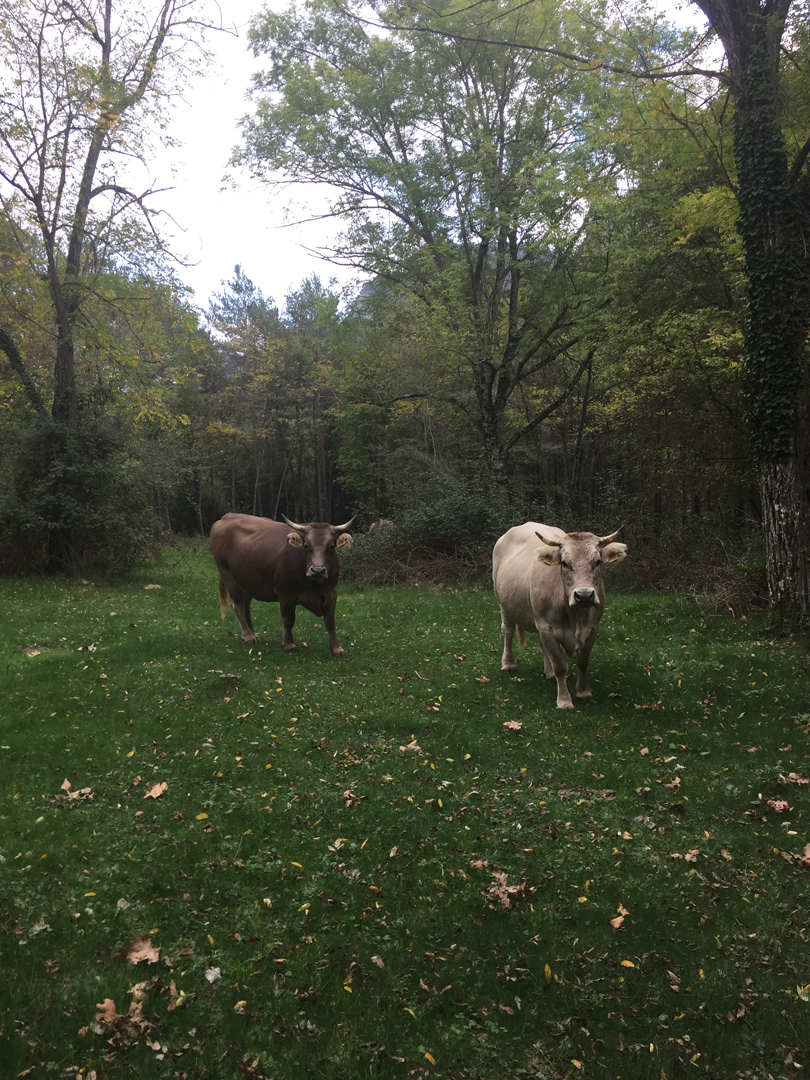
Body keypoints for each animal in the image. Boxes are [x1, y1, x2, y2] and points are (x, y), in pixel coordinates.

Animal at [212, 514, 354, 656]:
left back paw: (253, 634)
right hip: (227, 573)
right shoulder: (286, 594)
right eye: (306, 545)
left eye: (331, 546)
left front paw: (337, 648)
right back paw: (248, 636)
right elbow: (288, 620)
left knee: (246, 605)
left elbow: (330, 622)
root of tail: (228, 516)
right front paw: (289, 644)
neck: (316, 586)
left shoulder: (332, 592)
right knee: (238, 605)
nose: (318, 570)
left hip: (246, 581)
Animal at [492, 522, 630, 708]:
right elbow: (560, 665)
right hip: (504, 605)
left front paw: (583, 691)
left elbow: (583, 662)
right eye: (565, 563)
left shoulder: (593, 627)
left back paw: (548, 672)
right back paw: (508, 664)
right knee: (508, 631)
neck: (576, 617)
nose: (584, 595)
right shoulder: (547, 627)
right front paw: (564, 700)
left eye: (597, 562)